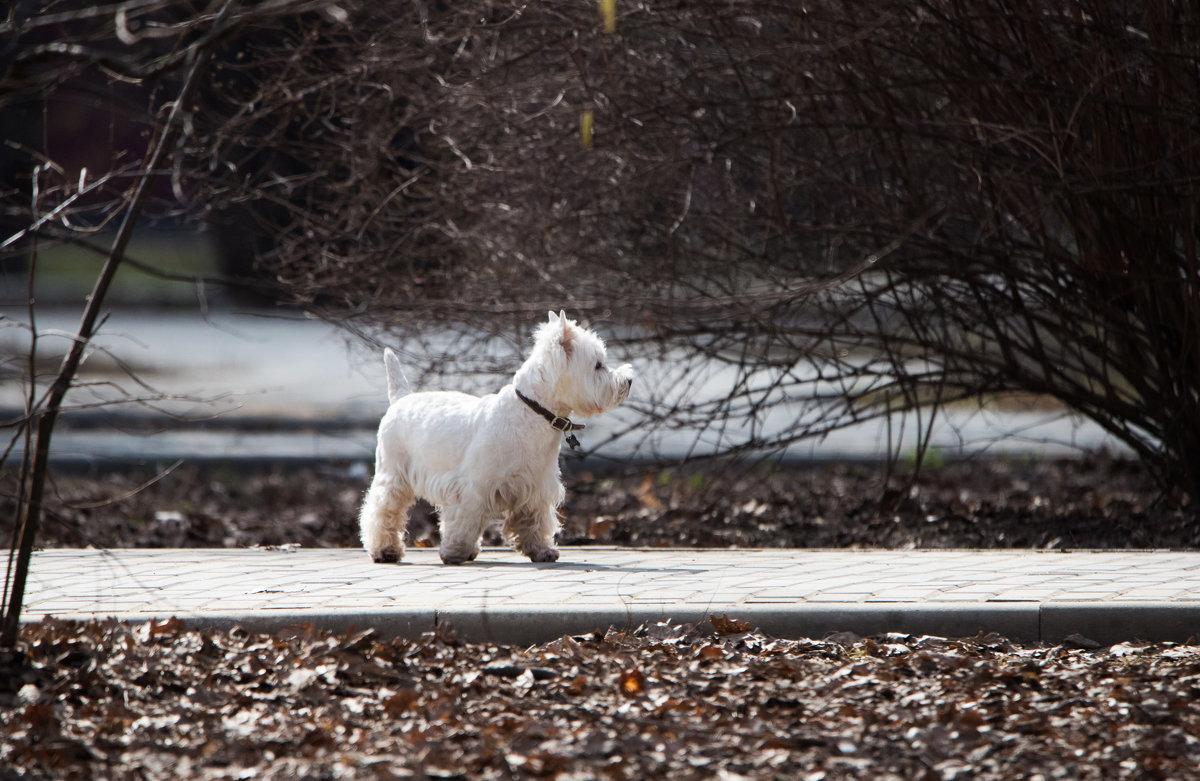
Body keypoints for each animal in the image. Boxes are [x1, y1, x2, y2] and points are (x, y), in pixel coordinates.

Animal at [357, 314, 633, 566]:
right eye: (598, 365)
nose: (628, 380)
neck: (532, 412)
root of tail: (401, 398)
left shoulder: (536, 487)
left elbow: (534, 521)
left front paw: (542, 551)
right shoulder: (473, 487)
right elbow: (464, 521)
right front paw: (454, 552)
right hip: (393, 474)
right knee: (382, 511)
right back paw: (385, 551)